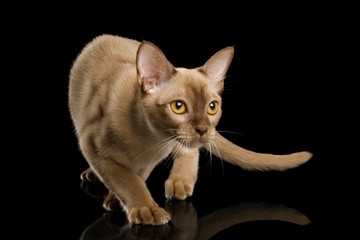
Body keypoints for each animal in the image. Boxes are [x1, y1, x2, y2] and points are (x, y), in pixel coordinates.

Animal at [68, 34, 312, 226]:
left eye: (212, 107)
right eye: (178, 106)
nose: (203, 129)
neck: (149, 138)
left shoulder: (152, 158)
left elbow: (136, 177)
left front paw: (123, 202)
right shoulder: (92, 148)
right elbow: (126, 180)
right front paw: (145, 209)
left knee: (191, 150)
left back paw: (180, 182)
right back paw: (93, 174)